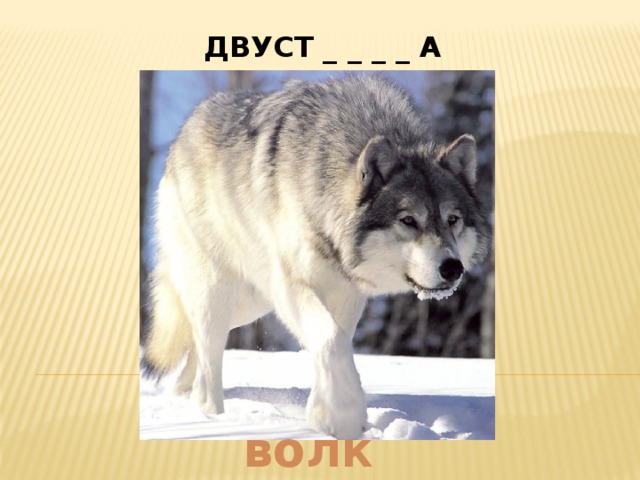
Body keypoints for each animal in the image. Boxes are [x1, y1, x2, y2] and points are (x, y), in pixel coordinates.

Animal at [141, 75, 491, 439]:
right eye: (409, 220)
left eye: (452, 220)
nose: (453, 268)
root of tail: (184, 132)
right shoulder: (291, 285)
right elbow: (331, 338)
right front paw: (342, 415)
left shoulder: (347, 292)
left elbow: (336, 343)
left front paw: (324, 410)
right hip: (220, 292)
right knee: (207, 358)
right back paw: (212, 415)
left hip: (250, 304)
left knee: (194, 348)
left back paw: (183, 398)